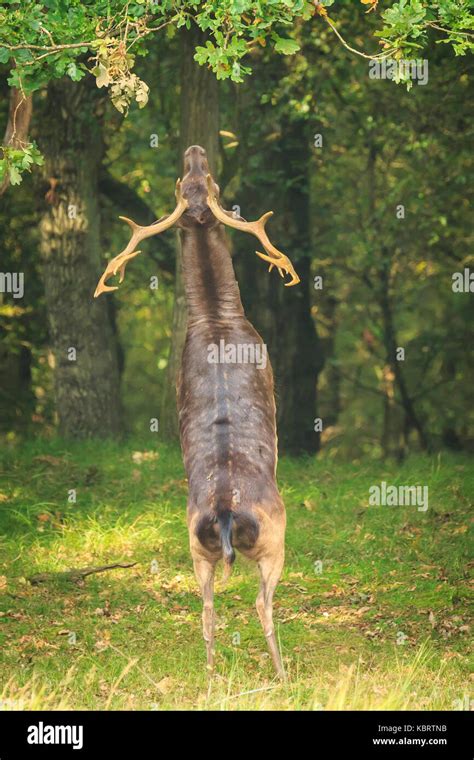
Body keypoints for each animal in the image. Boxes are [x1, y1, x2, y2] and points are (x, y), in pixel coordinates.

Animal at [95, 145, 300, 680]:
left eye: (193, 178)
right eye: (209, 181)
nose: (195, 150)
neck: (218, 318)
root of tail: (226, 513)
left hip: (194, 545)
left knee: (205, 607)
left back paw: (209, 675)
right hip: (275, 537)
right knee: (260, 603)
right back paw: (282, 674)